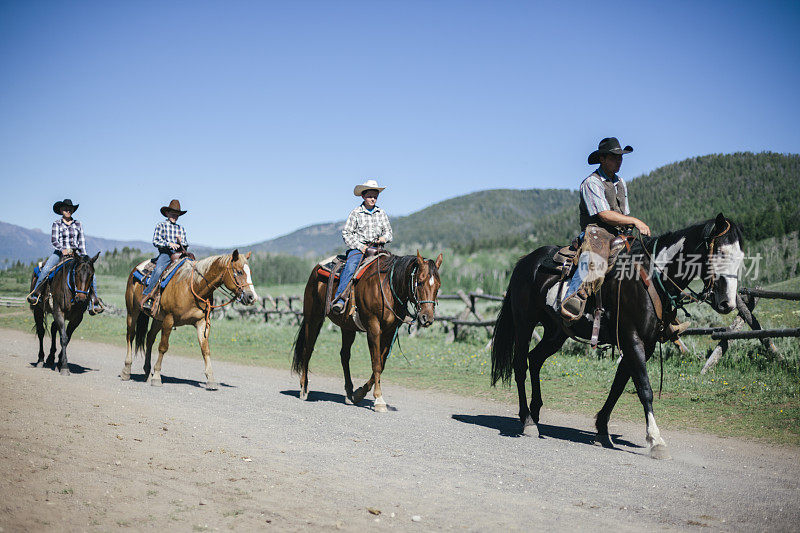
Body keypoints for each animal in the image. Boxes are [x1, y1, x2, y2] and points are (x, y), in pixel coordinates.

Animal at [120, 249, 258, 390]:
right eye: (239, 272)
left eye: (250, 272)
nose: (252, 297)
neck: (193, 287)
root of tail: (136, 268)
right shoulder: (169, 320)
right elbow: (163, 347)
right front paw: (157, 376)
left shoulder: (202, 322)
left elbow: (205, 349)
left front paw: (211, 379)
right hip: (132, 312)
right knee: (131, 336)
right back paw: (126, 371)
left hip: (158, 319)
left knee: (149, 338)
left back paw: (147, 373)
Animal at [292, 250, 444, 412]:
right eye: (420, 282)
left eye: (438, 285)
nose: (427, 318)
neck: (388, 288)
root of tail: (315, 270)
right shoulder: (373, 328)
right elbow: (376, 363)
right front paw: (379, 400)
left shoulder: (390, 332)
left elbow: (381, 364)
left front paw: (359, 393)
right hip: (313, 319)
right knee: (307, 350)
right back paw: (304, 388)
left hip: (347, 327)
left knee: (344, 355)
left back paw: (349, 393)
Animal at [490, 212, 748, 458]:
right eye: (721, 253)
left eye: (741, 257)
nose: (727, 303)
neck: (651, 277)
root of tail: (525, 261)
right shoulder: (632, 339)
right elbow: (644, 388)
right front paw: (656, 440)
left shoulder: (645, 344)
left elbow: (619, 385)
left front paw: (602, 429)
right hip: (524, 323)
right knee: (520, 365)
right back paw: (528, 420)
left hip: (556, 332)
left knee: (535, 360)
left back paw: (535, 412)